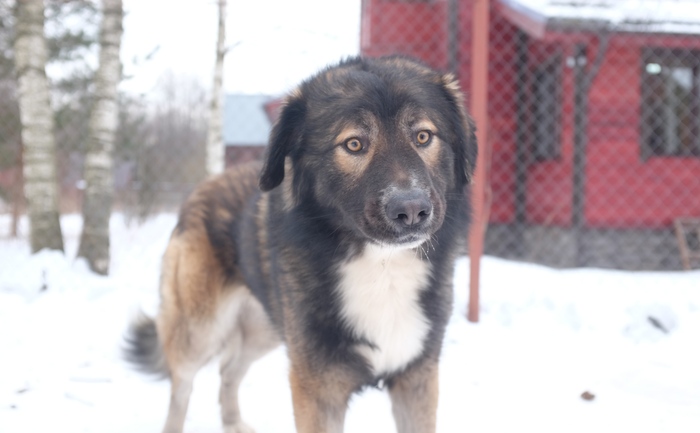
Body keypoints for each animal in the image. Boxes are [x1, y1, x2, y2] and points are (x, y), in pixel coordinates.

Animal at [125, 56, 476, 433]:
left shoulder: (416, 378)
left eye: (423, 136)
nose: (411, 211)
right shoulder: (317, 388)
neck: (382, 267)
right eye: (354, 144)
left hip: (264, 328)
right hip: (200, 330)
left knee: (228, 370)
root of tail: (204, 186)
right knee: (182, 388)